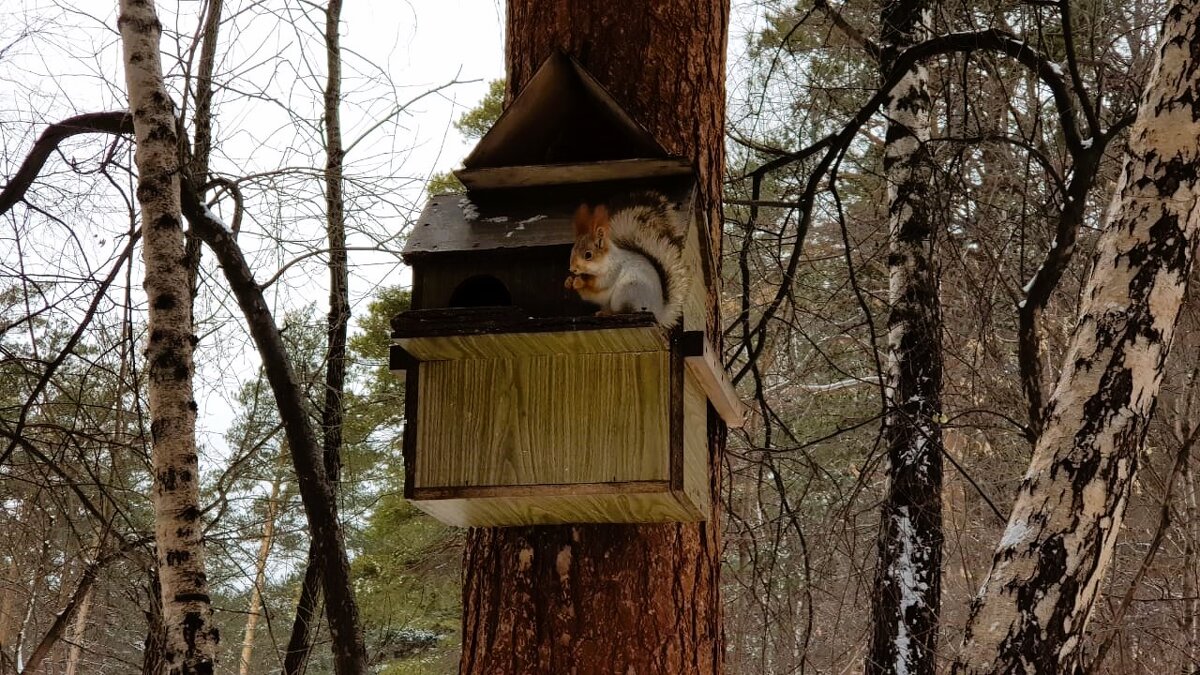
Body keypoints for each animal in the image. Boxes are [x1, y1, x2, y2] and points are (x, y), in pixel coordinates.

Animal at [559, 192, 686, 326]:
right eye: (572, 251)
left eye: (588, 255)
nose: (572, 269)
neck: (605, 261)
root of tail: (658, 312)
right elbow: (587, 294)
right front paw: (569, 281)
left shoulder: (614, 270)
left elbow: (599, 284)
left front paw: (579, 281)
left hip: (627, 293)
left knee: (626, 311)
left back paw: (609, 313)